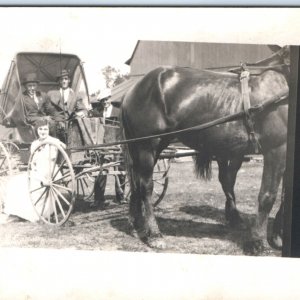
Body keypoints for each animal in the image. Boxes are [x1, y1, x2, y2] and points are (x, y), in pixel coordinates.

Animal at [120, 46, 290, 253]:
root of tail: (134, 90)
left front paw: (278, 236)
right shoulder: (276, 149)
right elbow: (268, 195)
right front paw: (258, 242)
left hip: (148, 147)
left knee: (136, 183)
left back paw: (136, 226)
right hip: (147, 146)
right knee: (145, 187)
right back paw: (154, 234)